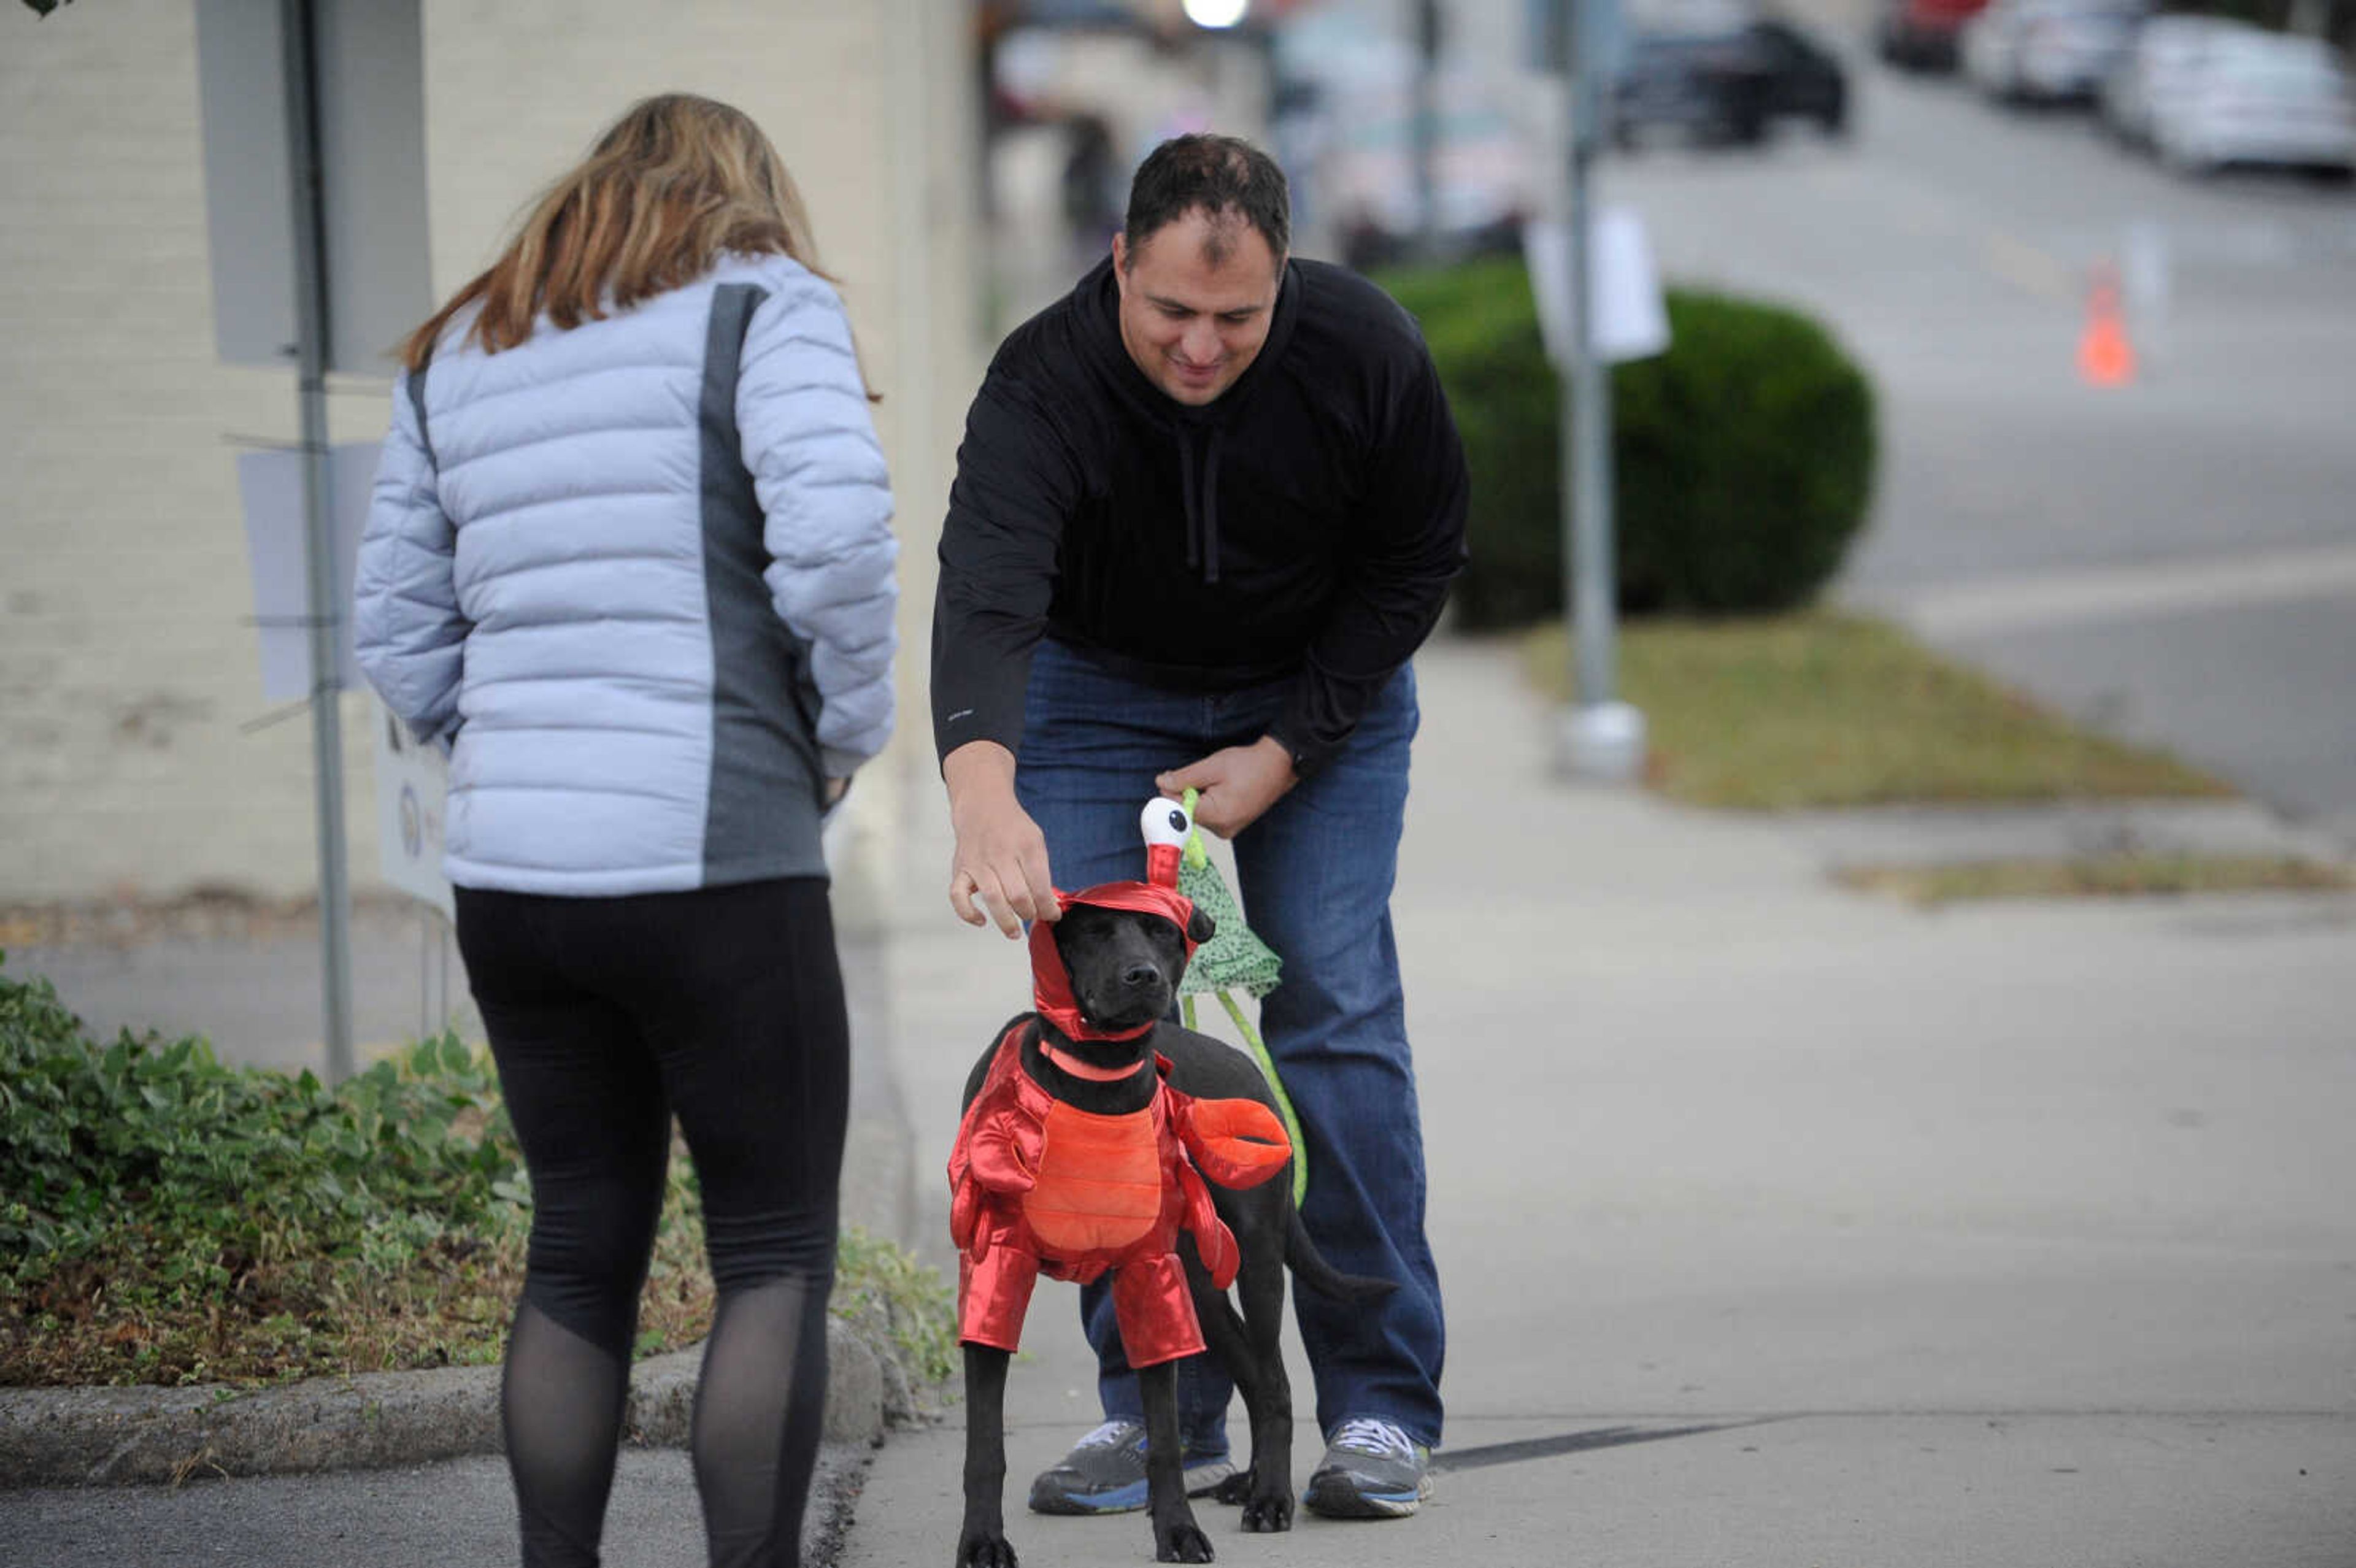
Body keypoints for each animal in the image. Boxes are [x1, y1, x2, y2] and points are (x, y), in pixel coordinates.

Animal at [957, 899, 1385, 1553]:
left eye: (1163, 933)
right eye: (1091, 931)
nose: (1144, 977)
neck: (1095, 1084)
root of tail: (1253, 1076)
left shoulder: (1150, 1277)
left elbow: (1164, 1442)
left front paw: (1179, 1534)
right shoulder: (995, 1276)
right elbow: (984, 1446)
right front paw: (982, 1543)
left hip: (1256, 1260)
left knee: (1276, 1384)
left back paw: (1270, 1498)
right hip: (1201, 1284)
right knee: (1253, 1377)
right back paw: (1252, 1481)